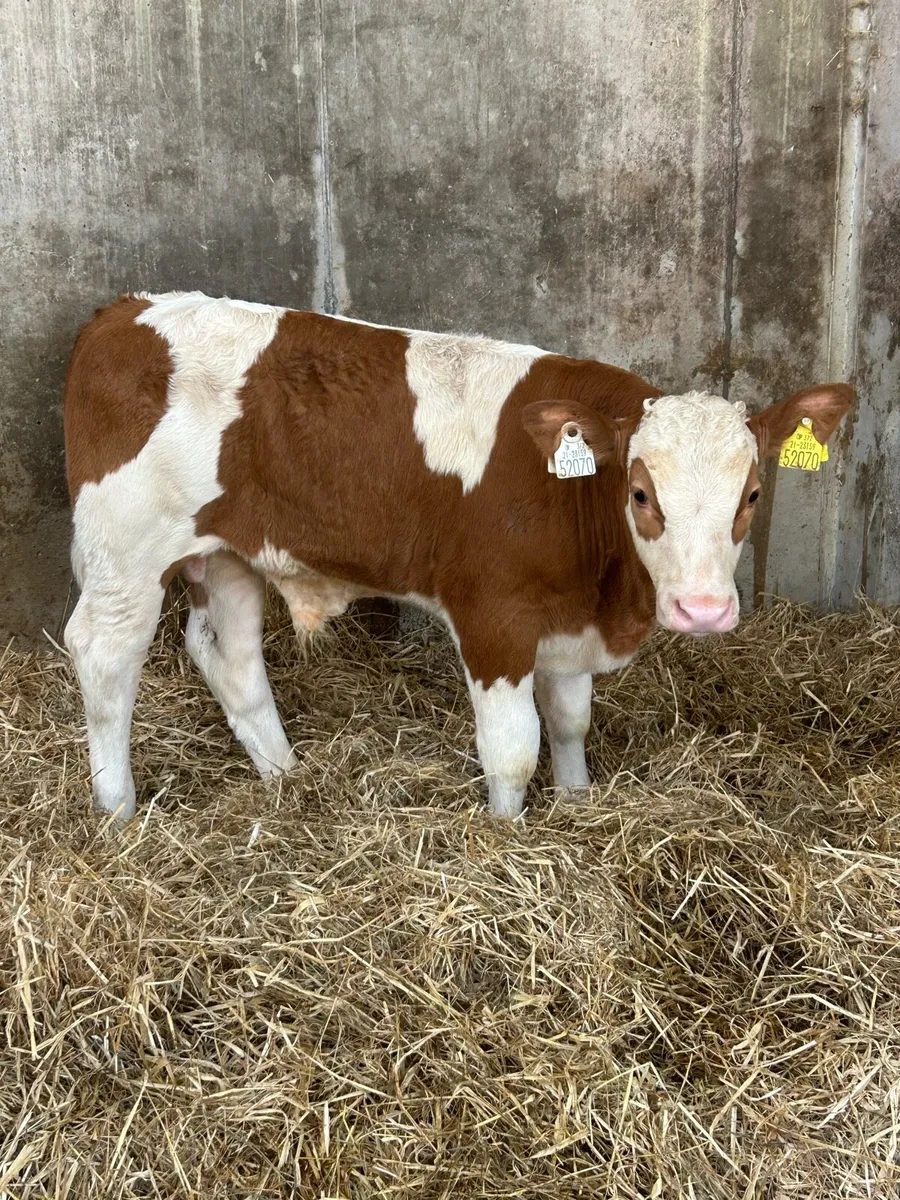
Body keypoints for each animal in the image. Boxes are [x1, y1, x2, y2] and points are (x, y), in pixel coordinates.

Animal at [63, 291, 854, 821]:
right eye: (640, 493)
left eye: (753, 494)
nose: (704, 609)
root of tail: (122, 310)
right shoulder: (493, 617)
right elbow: (512, 748)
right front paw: (510, 836)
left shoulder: (569, 623)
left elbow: (569, 723)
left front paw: (577, 801)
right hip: (124, 551)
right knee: (104, 655)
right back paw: (118, 813)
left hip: (226, 553)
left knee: (230, 658)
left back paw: (287, 778)